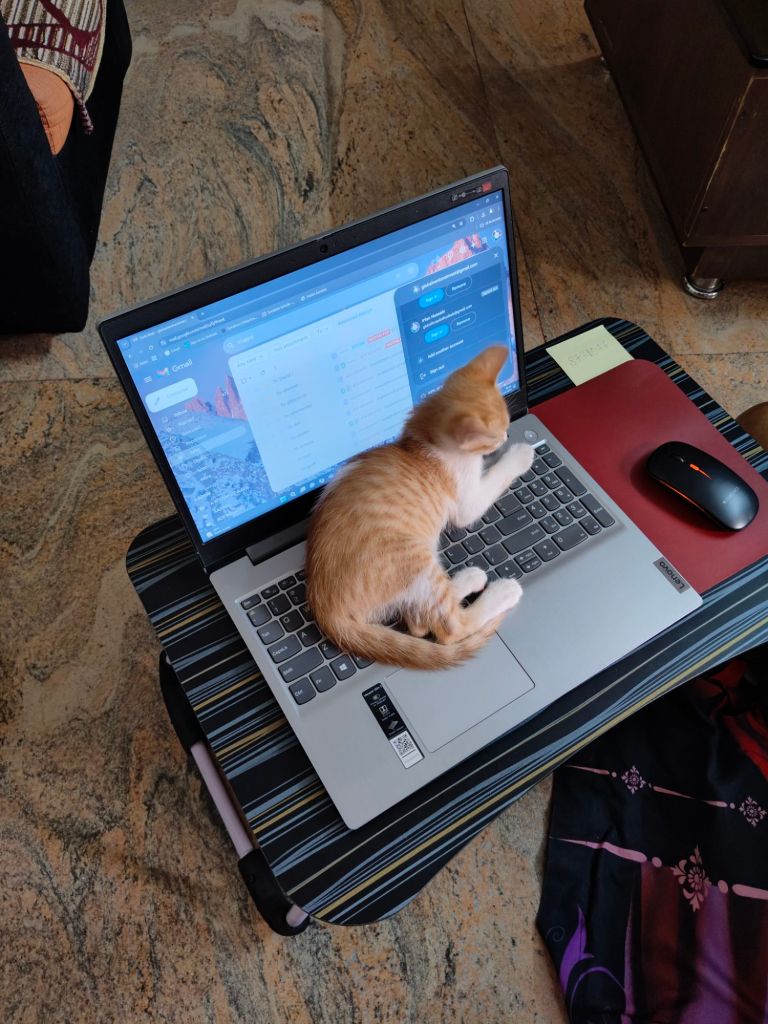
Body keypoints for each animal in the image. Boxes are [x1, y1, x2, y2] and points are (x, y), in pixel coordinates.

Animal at [306, 346, 535, 670]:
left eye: (506, 426)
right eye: (496, 434)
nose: (505, 436)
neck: (424, 439)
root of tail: (324, 606)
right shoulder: (467, 501)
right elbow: (493, 478)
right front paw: (519, 454)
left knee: (418, 621)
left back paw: (467, 578)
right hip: (413, 559)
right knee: (448, 627)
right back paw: (500, 592)